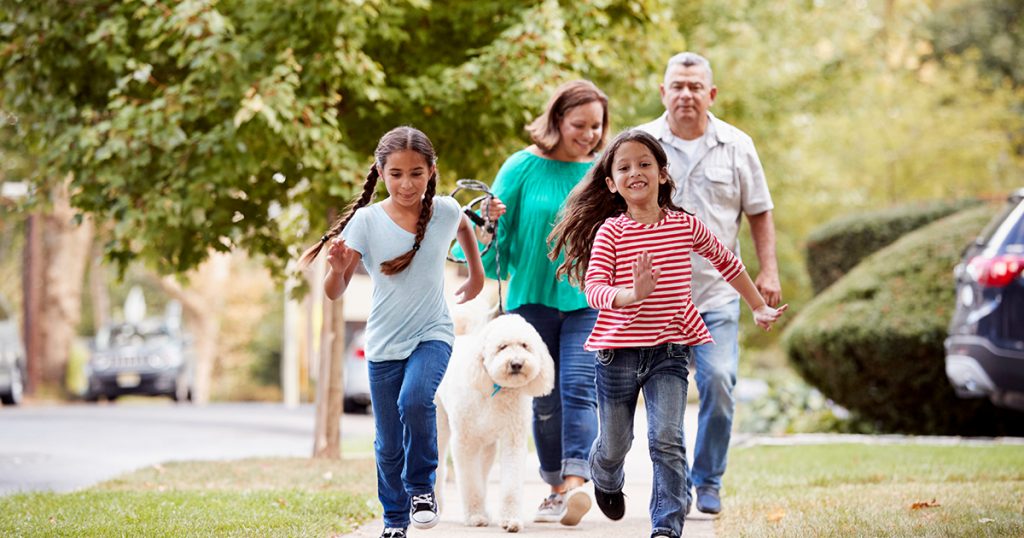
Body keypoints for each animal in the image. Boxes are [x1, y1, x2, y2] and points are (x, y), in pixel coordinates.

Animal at [436, 311, 557, 528]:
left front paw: (510, 519)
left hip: (487, 445)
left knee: (482, 473)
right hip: (439, 424)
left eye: (525, 345)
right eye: (502, 347)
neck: (497, 389)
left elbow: (510, 484)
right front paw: (475, 516)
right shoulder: (465, 443)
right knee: (439, 466)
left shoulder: (513, 440)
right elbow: (470, 483)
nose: (516, 364)